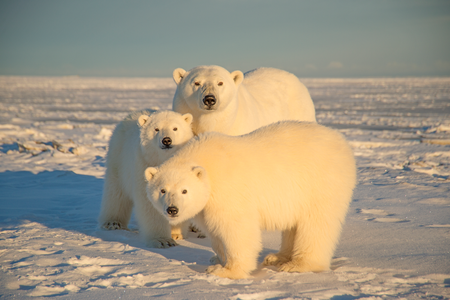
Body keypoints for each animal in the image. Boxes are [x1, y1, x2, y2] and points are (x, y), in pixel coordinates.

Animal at [98, 109, 193, 247]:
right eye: (156, 129)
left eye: (175, 128)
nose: (166, 140)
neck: (163, 159)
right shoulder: (145, 165)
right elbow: (150, 202)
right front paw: (162, 240)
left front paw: (175, 233)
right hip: (119, 158)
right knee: (116, 192)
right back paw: (113, 222)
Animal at [144, 120, 356, 278]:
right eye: (162, 190)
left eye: (185, 191)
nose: (172, 209)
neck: (206, 162)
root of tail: (343, 143)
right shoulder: (207, 204)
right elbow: (214, 231)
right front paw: (217, 259)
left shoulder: (228, 189)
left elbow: (236, 228)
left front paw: (226, 270)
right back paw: (278, 257)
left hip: (321, 182)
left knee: (316, 224)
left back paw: (298, 264)